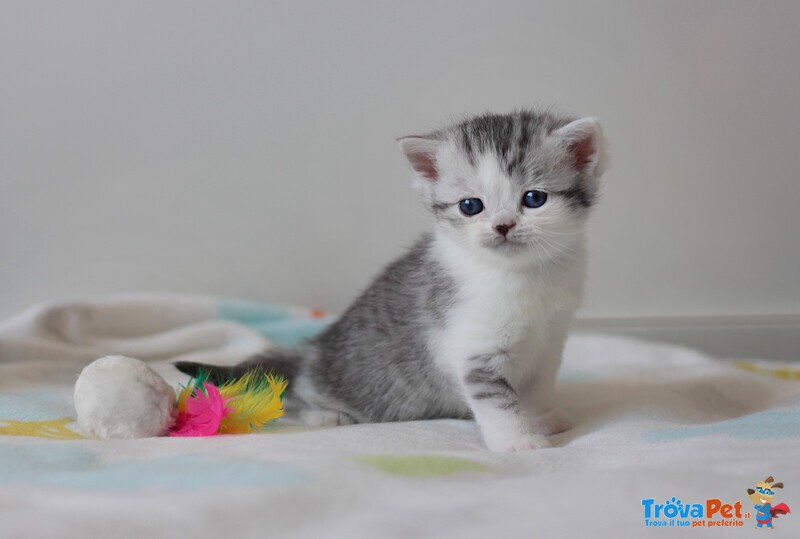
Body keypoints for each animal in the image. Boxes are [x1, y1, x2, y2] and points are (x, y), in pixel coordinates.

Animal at [180, 108, 608, 452]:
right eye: (471, 206)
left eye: (534, 199)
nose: (503, 226)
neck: (524, 275)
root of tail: (310, 350)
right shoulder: (475, 350)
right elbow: (499, 402)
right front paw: (518, 441)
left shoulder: (549, 342)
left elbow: (537, 387)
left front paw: (543, 417)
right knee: (287, 396)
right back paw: (324, 415)